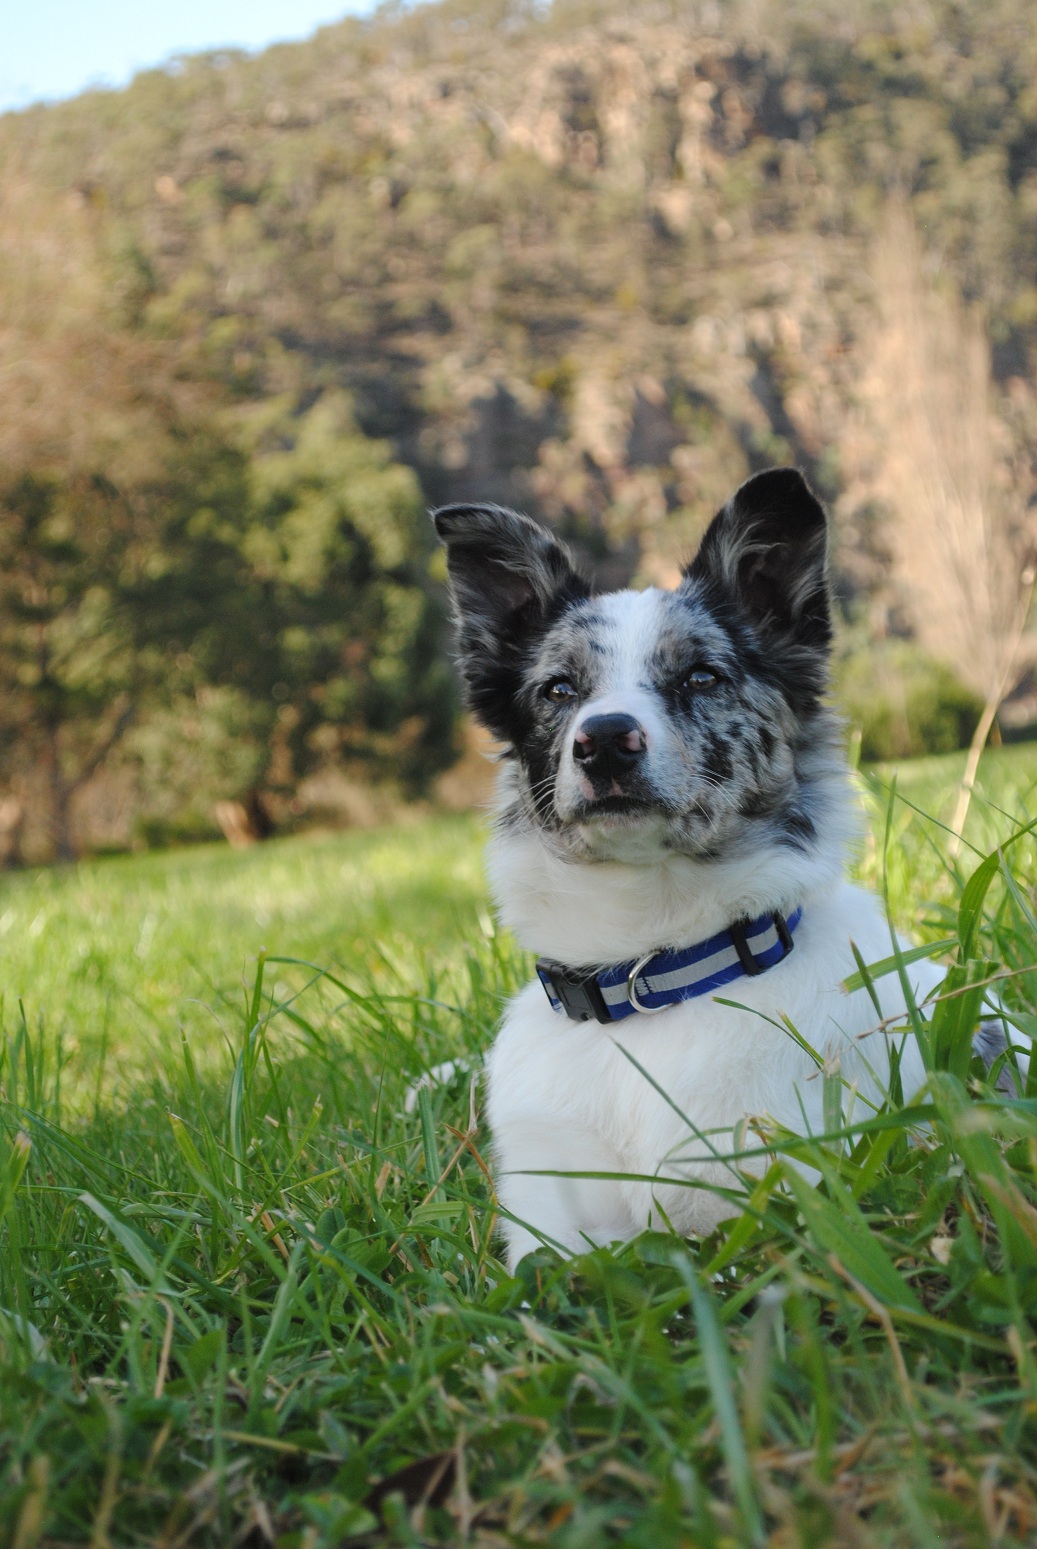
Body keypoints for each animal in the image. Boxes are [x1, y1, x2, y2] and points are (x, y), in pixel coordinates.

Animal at [434, 464, 1004, 1263]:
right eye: (559, 689)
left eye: (701, 677)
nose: (604, 741)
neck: (652, 969)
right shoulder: (550, 1224)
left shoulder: (771, 1199)